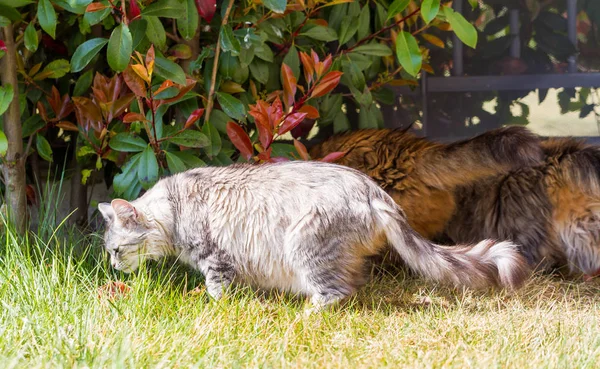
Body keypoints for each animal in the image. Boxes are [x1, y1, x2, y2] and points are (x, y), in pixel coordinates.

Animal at [98, 161, 528, 310]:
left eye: (117, 250)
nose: (114, 268)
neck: (174, 207)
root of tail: (372, 190)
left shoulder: (217, 258)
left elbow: (217, 291)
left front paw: (214, 307)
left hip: (304, 241)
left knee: (337, 291)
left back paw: (307, 313)